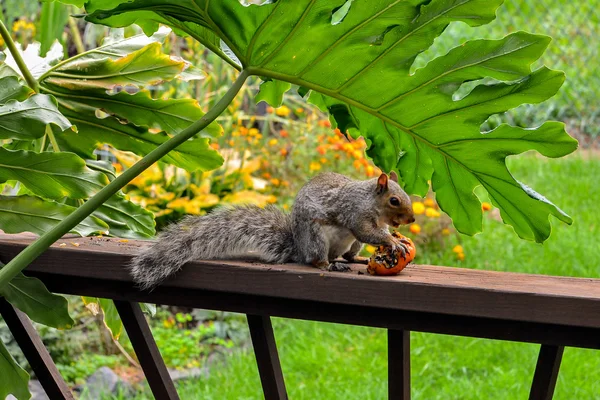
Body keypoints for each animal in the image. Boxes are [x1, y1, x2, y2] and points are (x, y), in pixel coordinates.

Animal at [129, 170, 414, 290]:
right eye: (394, 200)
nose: (411, 219)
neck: (371, 202)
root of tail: (298, 247)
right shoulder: (355, 214)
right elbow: (366, 232)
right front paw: (393, 242)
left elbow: (375, 234)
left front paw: (393, 240)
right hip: (316, 238)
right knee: (317, 260)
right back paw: (329, 265)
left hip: (347, 243)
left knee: (348, 253)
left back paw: (356, 259)